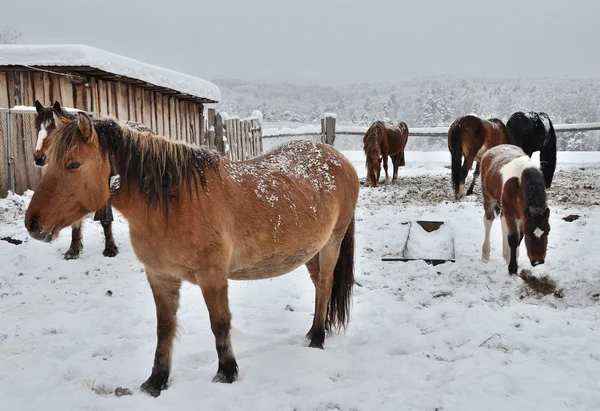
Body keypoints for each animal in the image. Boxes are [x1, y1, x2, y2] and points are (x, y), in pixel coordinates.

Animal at [33, 100, 152, 260]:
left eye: (53, 129)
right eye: (36, 127)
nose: (38, 158)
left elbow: (106, 221)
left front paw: (110, 248)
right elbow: (75, 223)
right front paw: (73, 249)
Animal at [480, 143, 552, 276]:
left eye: (547, 232)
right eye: (529, 234)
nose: (538, 261)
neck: (519, 184)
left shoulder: (522, 216)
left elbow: (518, 238)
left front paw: (513, 260)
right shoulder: (511, 212)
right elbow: (513, 238)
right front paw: (512, 268)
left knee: (503, 223)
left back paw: (506, 255)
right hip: (488, 198)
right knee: (488, 221)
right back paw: (485, 254)